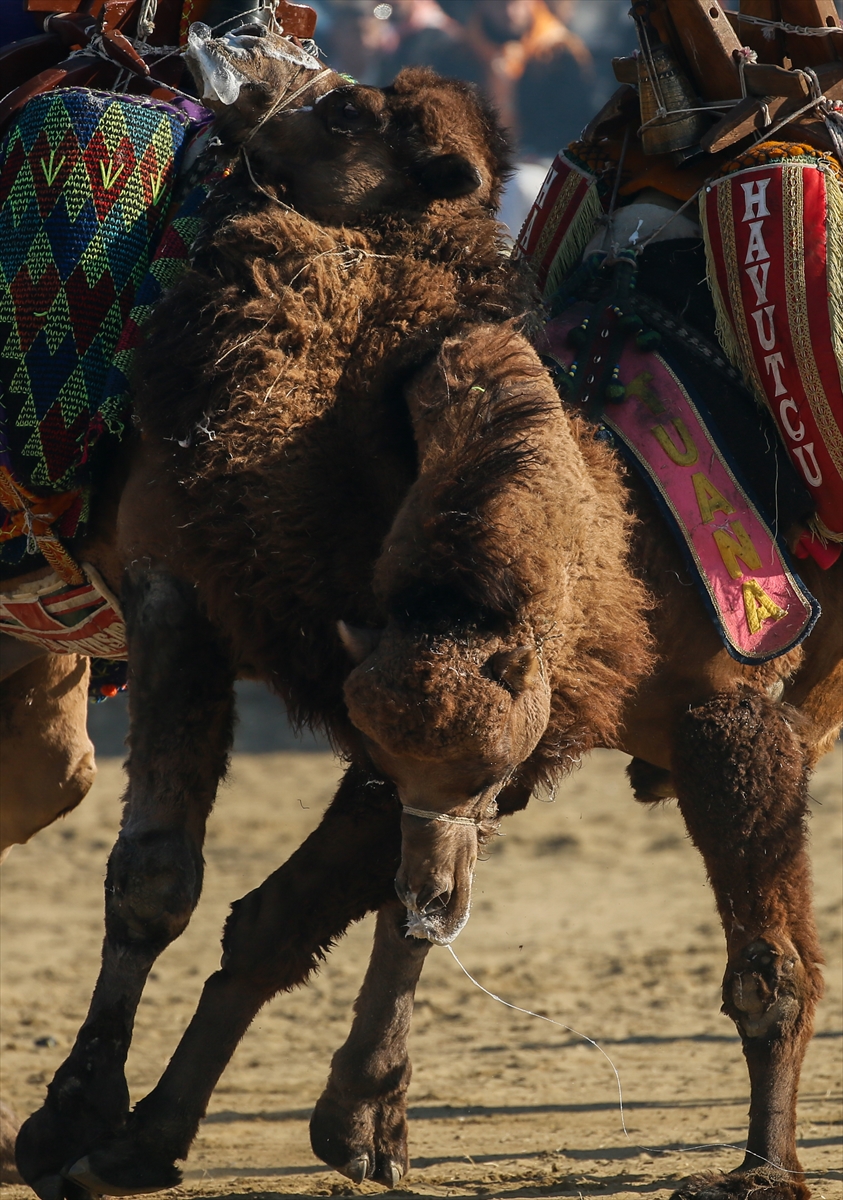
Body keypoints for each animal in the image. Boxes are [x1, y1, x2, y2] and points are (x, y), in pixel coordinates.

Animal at [1, 23, 840, 1200]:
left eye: (349, 111)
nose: (250, 77)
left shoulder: (704, 716)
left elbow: (769, 970)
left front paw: (763, 1167)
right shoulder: (217, 607)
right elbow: (189, 887)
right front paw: (100, 1123)